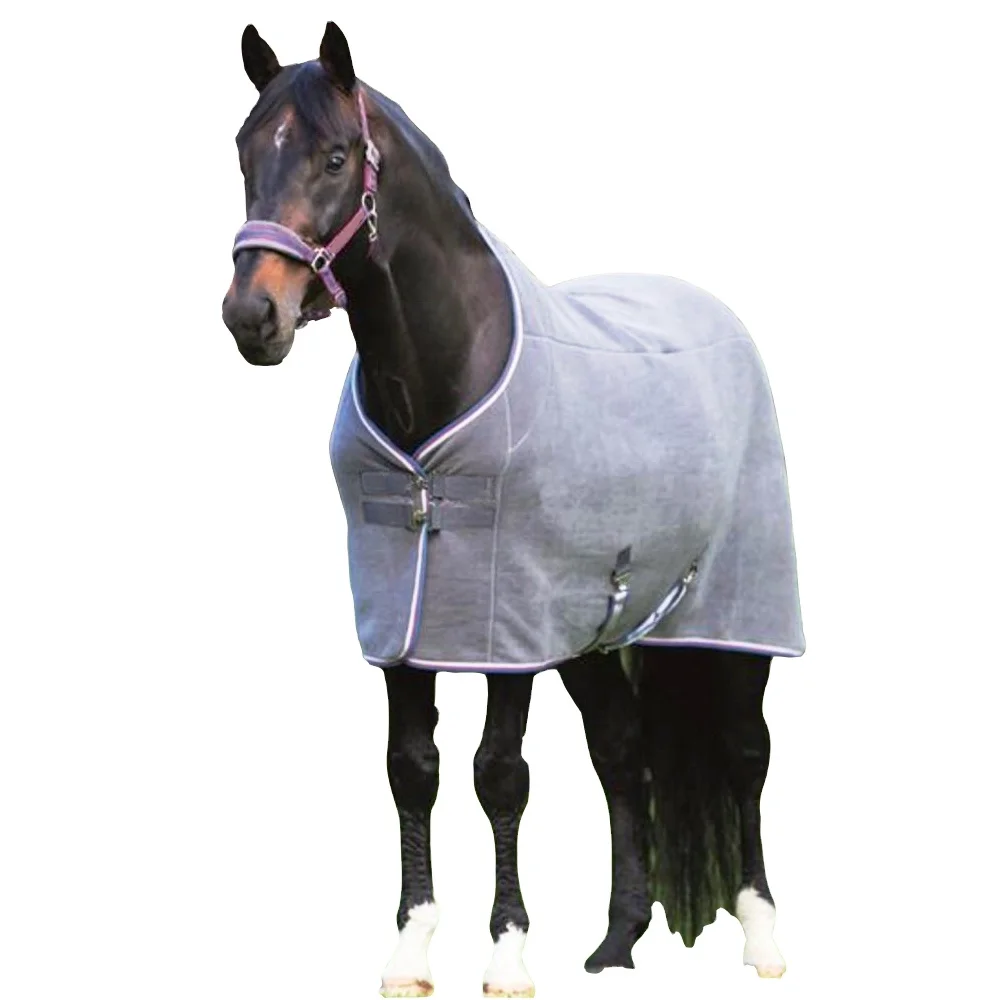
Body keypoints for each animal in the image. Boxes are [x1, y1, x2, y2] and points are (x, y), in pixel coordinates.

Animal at [221, 22, 802, 997]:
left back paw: (763, 939)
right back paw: (615, 944)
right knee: (622, 753)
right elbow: (411, 770)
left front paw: (507, 952)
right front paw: (412, 950)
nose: (250, 315)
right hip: (594, 633)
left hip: (732, 613)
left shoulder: (507, 628)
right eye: (242, 155)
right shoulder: (409, 624)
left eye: (335, 157)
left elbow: (500, 775)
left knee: (743, 751)